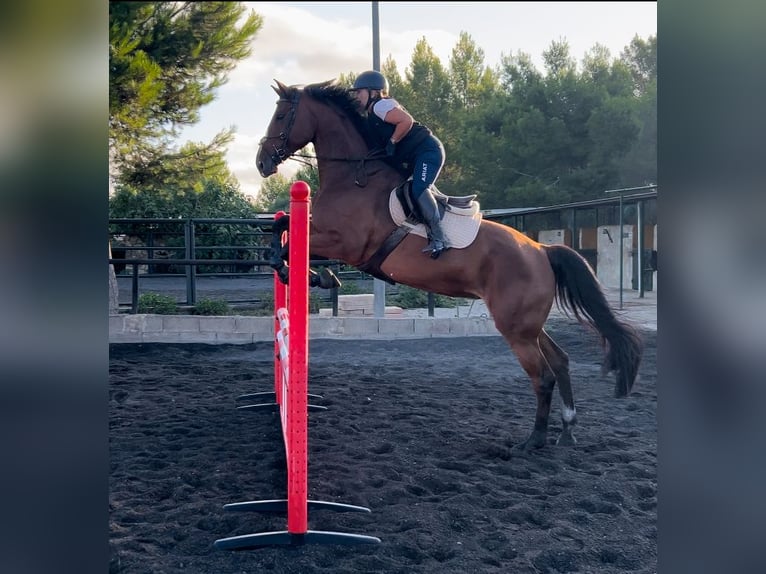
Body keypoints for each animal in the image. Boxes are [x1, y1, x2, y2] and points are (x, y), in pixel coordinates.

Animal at [256, 79, 640, 452]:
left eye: (280, 116)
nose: (261, 163)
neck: (353, 176)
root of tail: (542, 250)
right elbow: (282, 226)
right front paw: (310, 273)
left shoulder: (344, 242)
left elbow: (286, 237)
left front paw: (311, 274)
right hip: (527, 324)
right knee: (560, 361)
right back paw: (567, 430)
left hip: (516, 327)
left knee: (543, 376)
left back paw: (534, 440)